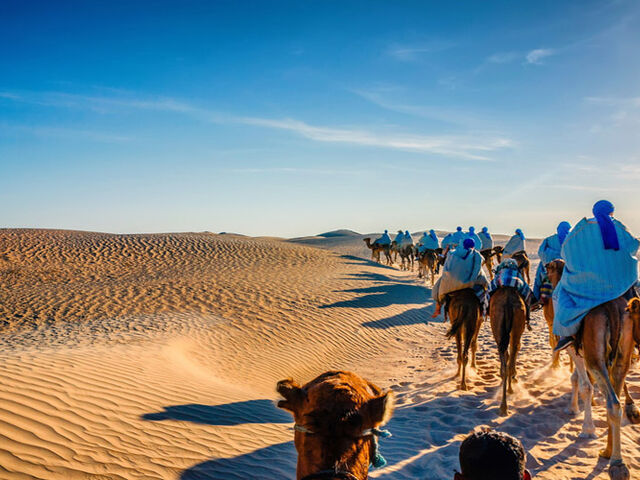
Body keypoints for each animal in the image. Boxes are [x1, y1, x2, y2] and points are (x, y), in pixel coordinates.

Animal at [490, 284, 524, 416]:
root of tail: (508, 303)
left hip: (498, 327)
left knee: (507, 357)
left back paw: (503, 406)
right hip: (516, 325)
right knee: (513, 350)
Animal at [548, 262, 636, 480]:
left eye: (548, 270)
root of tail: (613, 308)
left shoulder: (574, 349)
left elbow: (583, 384)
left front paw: (585, 427)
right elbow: (580, 381)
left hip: (594, 355)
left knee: (613, 401)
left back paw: (617, 463)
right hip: (621, 356)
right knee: (616, 399)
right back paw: (608, 452)